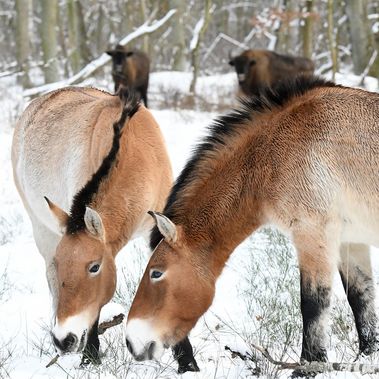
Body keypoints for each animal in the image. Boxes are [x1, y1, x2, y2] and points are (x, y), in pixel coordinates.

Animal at [11, 85, 197, 372]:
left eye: (94, 267)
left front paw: (187, 363)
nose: (63, 339)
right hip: (42, 231)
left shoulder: (160, 227)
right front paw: (90, 357)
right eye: (62, 264)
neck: (133, 150)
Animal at [125, 75, 379, 370]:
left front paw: (308, 366)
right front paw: (366, 359)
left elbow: (313, 303)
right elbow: (361, 299)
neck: (272, 151)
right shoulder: (351, 240)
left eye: (156, 273)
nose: (131, 342)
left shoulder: (312, 233)